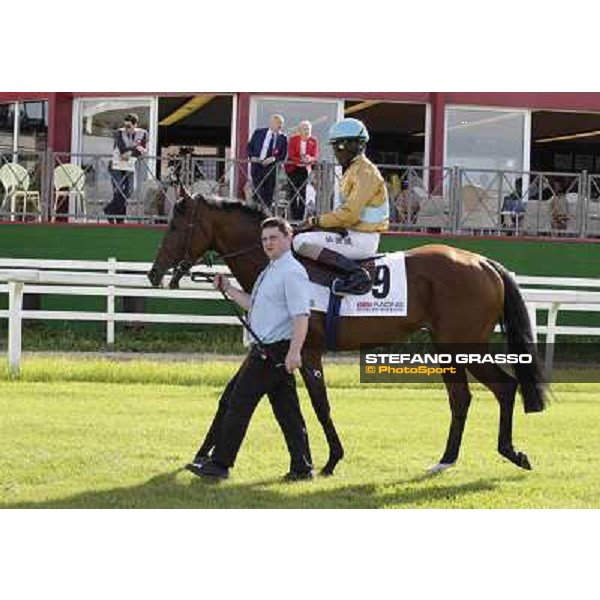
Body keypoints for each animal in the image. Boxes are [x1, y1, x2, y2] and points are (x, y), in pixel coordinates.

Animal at [148, 195, 548, 476]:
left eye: (175, 227)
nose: (154, 273)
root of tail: (483, 262)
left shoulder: (307, 351)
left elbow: (320, 405)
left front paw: (330, 460)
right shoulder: (266, 348)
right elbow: (231, 396)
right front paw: (202, 454)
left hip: (461, 344)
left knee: (503, 387)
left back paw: (510, 452)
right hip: (447, 347)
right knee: (463, 398)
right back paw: (447, 460)